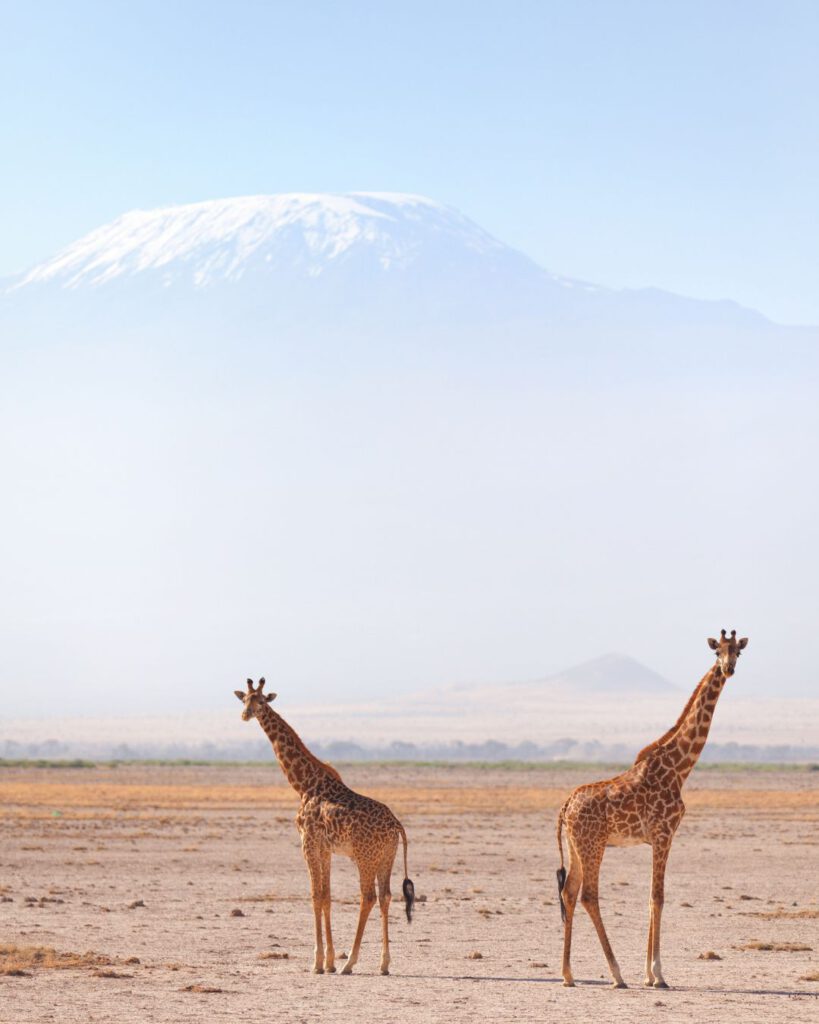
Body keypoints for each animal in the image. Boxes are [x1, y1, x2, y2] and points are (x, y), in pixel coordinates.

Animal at [235, 679, 415, 974]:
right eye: (244, 700)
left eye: (261, 701)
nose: (245, 715)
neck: (303, 784)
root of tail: (397, 825)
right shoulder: (325, 848)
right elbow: (327, 896)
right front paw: (329, 961)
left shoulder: (307, 842)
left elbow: (315, 895)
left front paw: (318, 962)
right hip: (386, 857)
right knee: (386, 896)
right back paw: (383, 964)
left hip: (365, 857)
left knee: (368, 897)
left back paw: (351, 963)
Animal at [556, 626, 749, 987]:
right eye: (717, 651)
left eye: (738, 652)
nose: (728, 669)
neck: (679, 768)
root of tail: (565, 806)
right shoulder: (664, 834)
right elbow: (658, 897)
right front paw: (657, 974)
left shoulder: (656, 839)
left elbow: (650, 897)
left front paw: (649, 974)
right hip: (593, 845)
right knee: (589, 895)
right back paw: (616, 974)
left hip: (576, 847)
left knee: (569, 892)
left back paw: (568, 974)